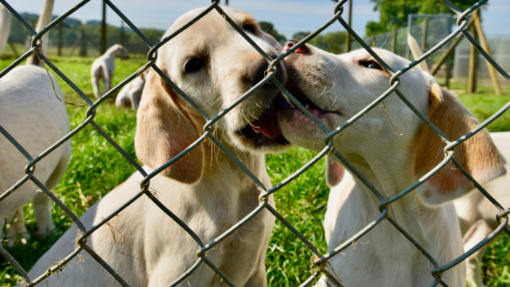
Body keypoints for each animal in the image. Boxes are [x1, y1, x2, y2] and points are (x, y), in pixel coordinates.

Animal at [26, 6, 290, 287]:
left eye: (249, 28)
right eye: (193, 65)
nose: (267, 68)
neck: (235, 182)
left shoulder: (256, 269)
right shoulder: (181, 272)